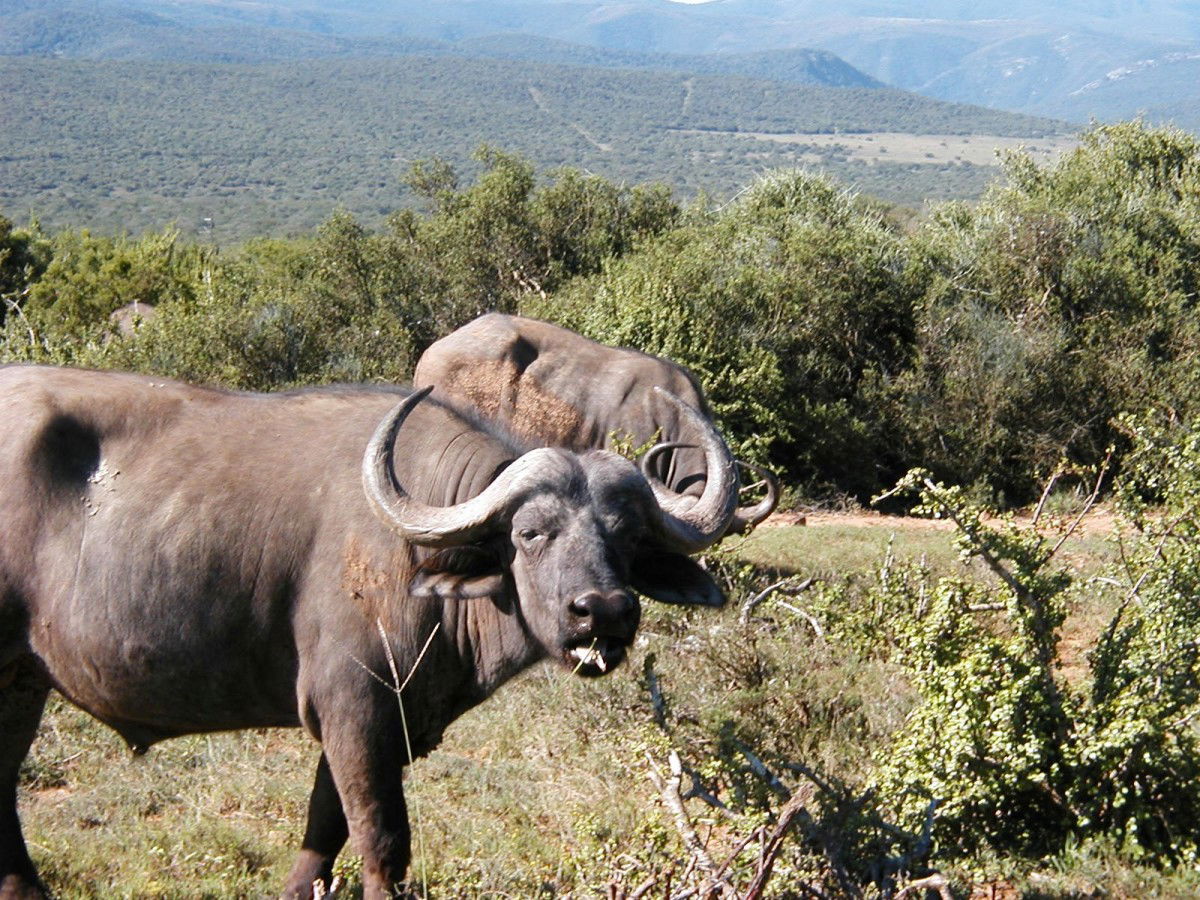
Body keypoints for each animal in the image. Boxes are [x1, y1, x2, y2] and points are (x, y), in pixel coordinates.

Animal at [0, 367, 739, 900]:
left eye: (629, 536)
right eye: (531, 533)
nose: (603, 612)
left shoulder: (372, 725)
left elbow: (323, 830)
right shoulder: (355, 709)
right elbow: (382, 841)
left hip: (23, 681)